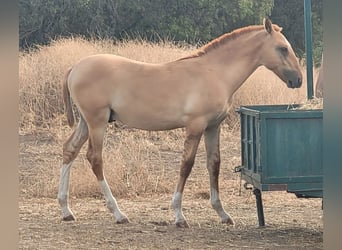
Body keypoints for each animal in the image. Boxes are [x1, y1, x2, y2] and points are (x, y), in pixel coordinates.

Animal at [58, 18, 302, 228]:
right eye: (282, 48)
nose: (298, 80)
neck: (215, 73)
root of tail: (74, 68)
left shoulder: (213, 127)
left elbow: (214, 164)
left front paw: (222, 213)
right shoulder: (195, 126)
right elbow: (186, 165)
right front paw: (179, 215)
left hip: (85, 123)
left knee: (70, 150)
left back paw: (66, 210)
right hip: (97, 122)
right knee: (95, 159)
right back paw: (118, 214)